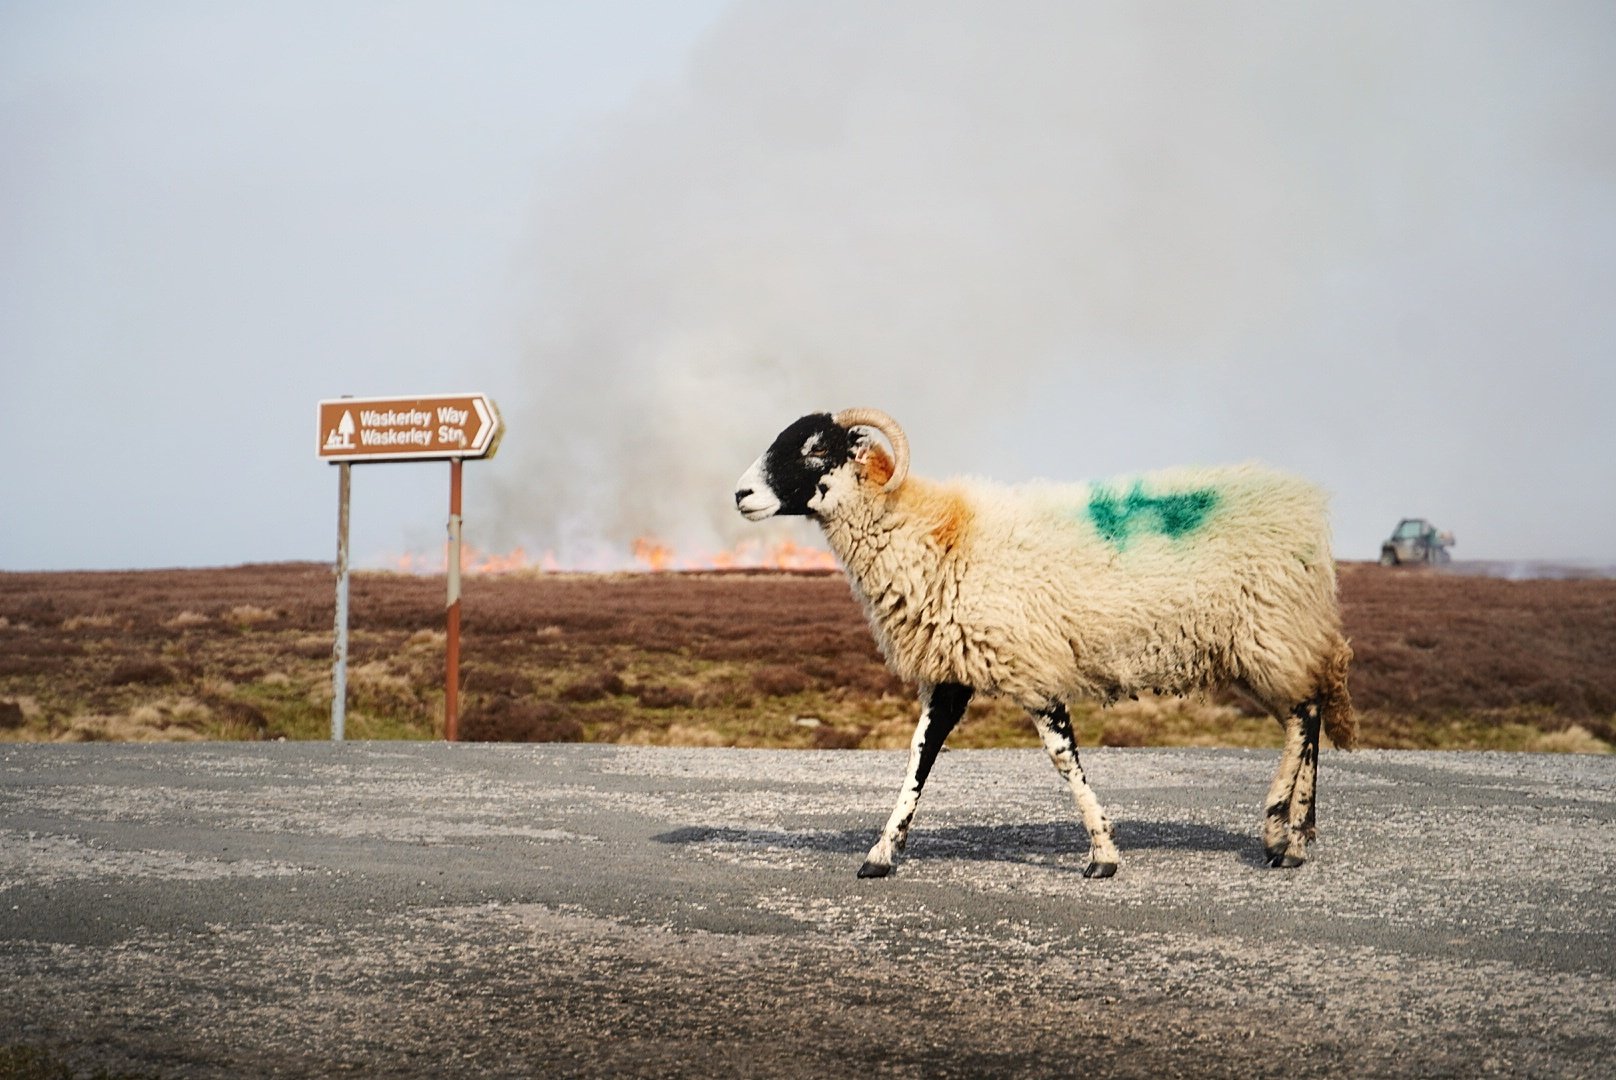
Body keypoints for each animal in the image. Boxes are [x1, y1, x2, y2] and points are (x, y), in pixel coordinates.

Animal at [734, 408, 1355, 878]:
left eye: (816, 448)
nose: (741, 494)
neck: (935, 534)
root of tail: (1306, 506)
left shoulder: (1031, 667)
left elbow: (1063, 758)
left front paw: (1103, 853)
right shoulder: (953, 670)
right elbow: (919, 756)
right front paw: (882, 854)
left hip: (1269, 631)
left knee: (1304, 717)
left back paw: (1277, 833)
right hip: (1266, 644)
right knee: (1307, 714)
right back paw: (1299, 835)